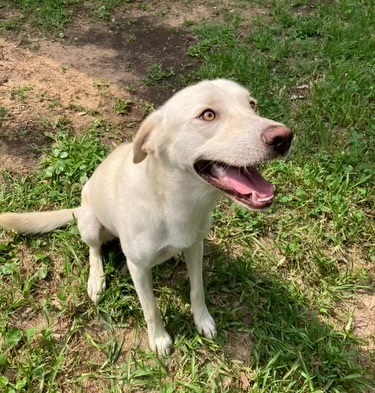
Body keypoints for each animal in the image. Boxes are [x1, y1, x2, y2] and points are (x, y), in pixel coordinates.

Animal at [0, 79, 294, 356]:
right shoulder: (139, 268)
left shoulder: (195, 246)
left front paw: (203, 320)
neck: (175, 203)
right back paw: (97, 278)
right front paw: (159, 339)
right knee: (94, 250)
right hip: (90, 223)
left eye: (252, 105)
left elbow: (197, 289)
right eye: (208, 115)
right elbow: (150, 307)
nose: (284, 137)